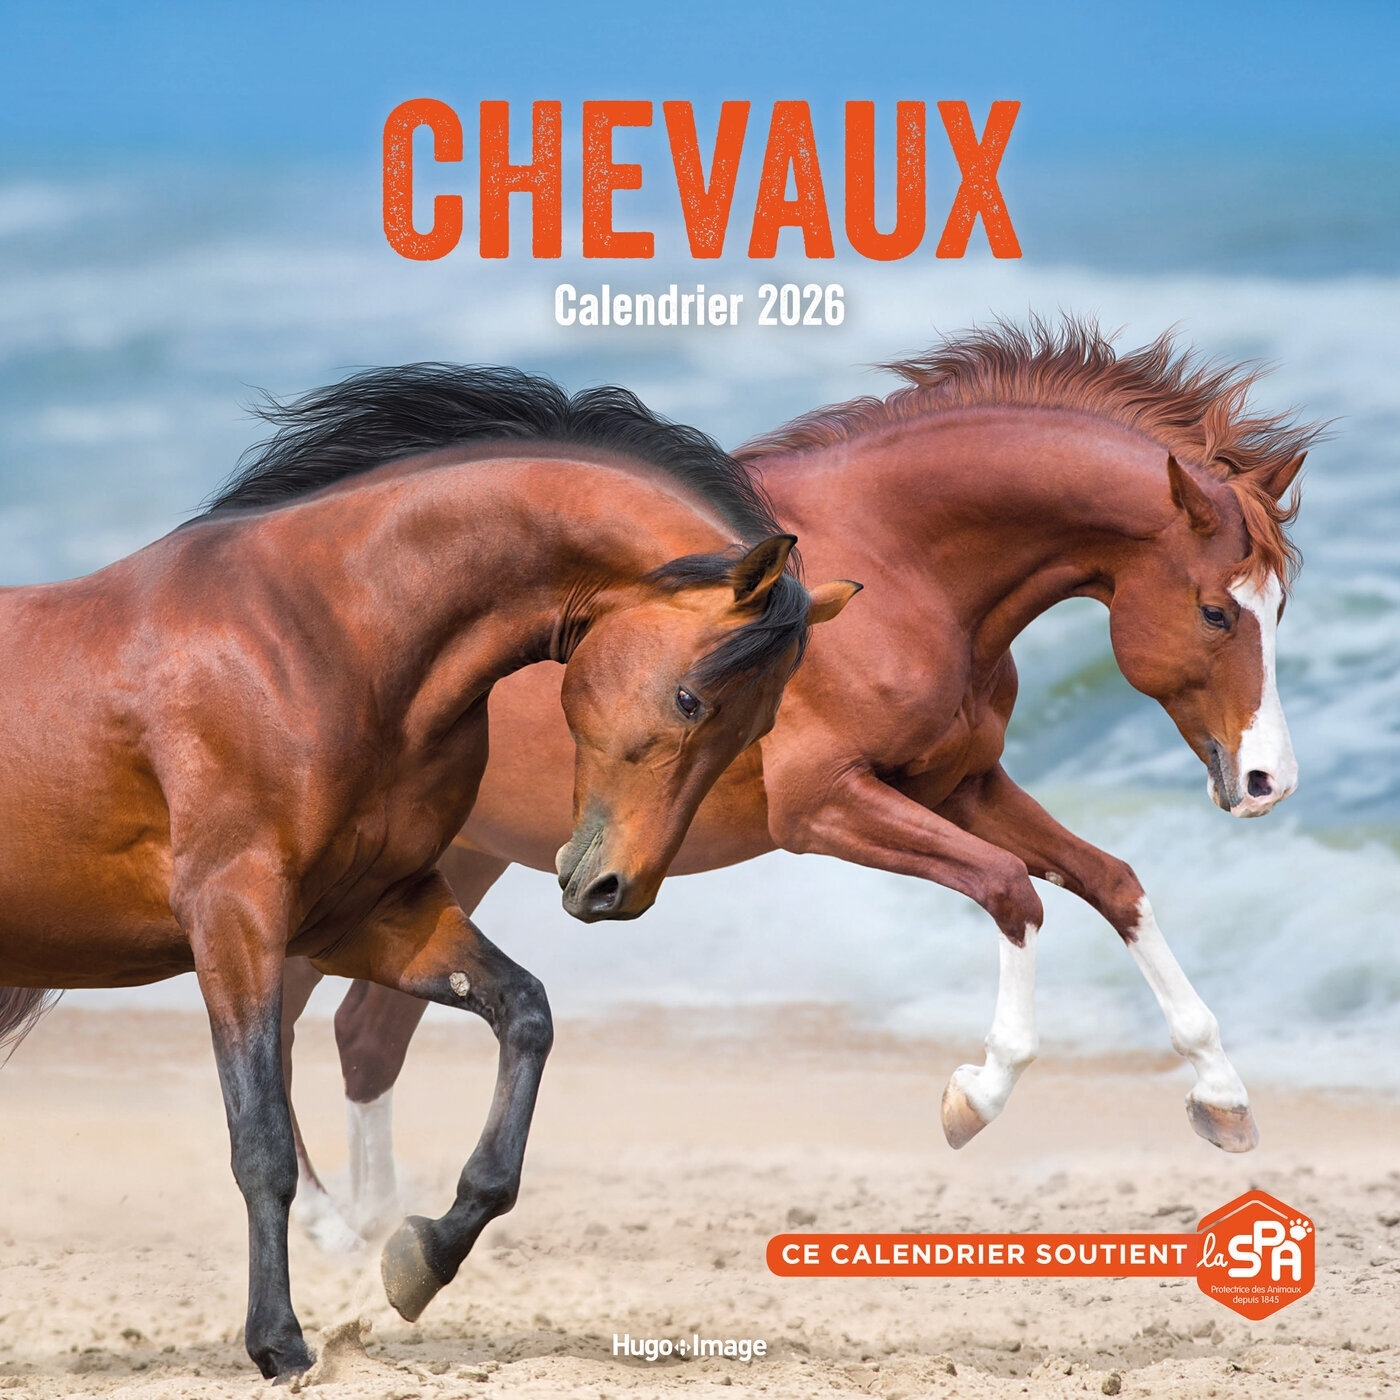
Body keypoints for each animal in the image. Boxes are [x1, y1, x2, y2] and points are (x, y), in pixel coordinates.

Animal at [0, 364, 859, 1380]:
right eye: (691, 698)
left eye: (757, 727)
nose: (613, 889)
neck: (322, 640)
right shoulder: (235, 916)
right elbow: (261, 1141)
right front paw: (279, 1343)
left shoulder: (376, 915)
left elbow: (524, 1016)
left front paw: (422, 1257)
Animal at [283, 319, 1318, 1256]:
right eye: (1216, 612)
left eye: (1278, 608)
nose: (1268, 780)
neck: (899, 567)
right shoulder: (829, 806)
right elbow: (1010, 892)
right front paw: (975, 1095)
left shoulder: (961, 786)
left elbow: (1112, 883)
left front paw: (1223, 1098)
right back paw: (330, 1226)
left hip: (455, 862)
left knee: (364, 1032)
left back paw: (376, 1227)